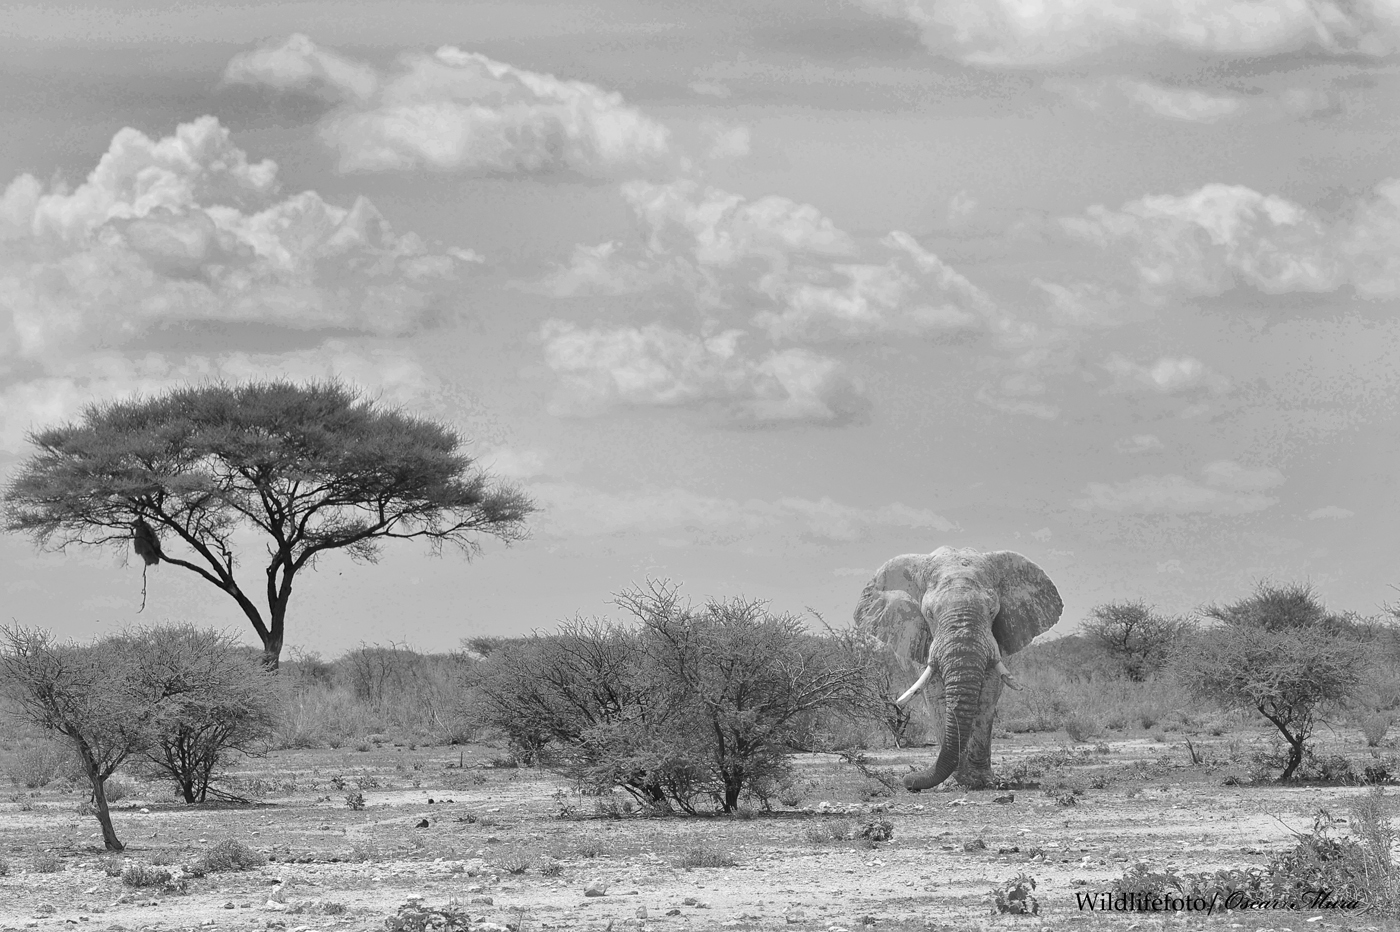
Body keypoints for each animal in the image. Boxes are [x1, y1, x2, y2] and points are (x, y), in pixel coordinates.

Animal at [855, 547, 1063, 792]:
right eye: (929, 614)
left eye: (992, 611)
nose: (908, 782)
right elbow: (937, 697)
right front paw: (957, 782)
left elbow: (987, 696)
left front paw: (982, 781)